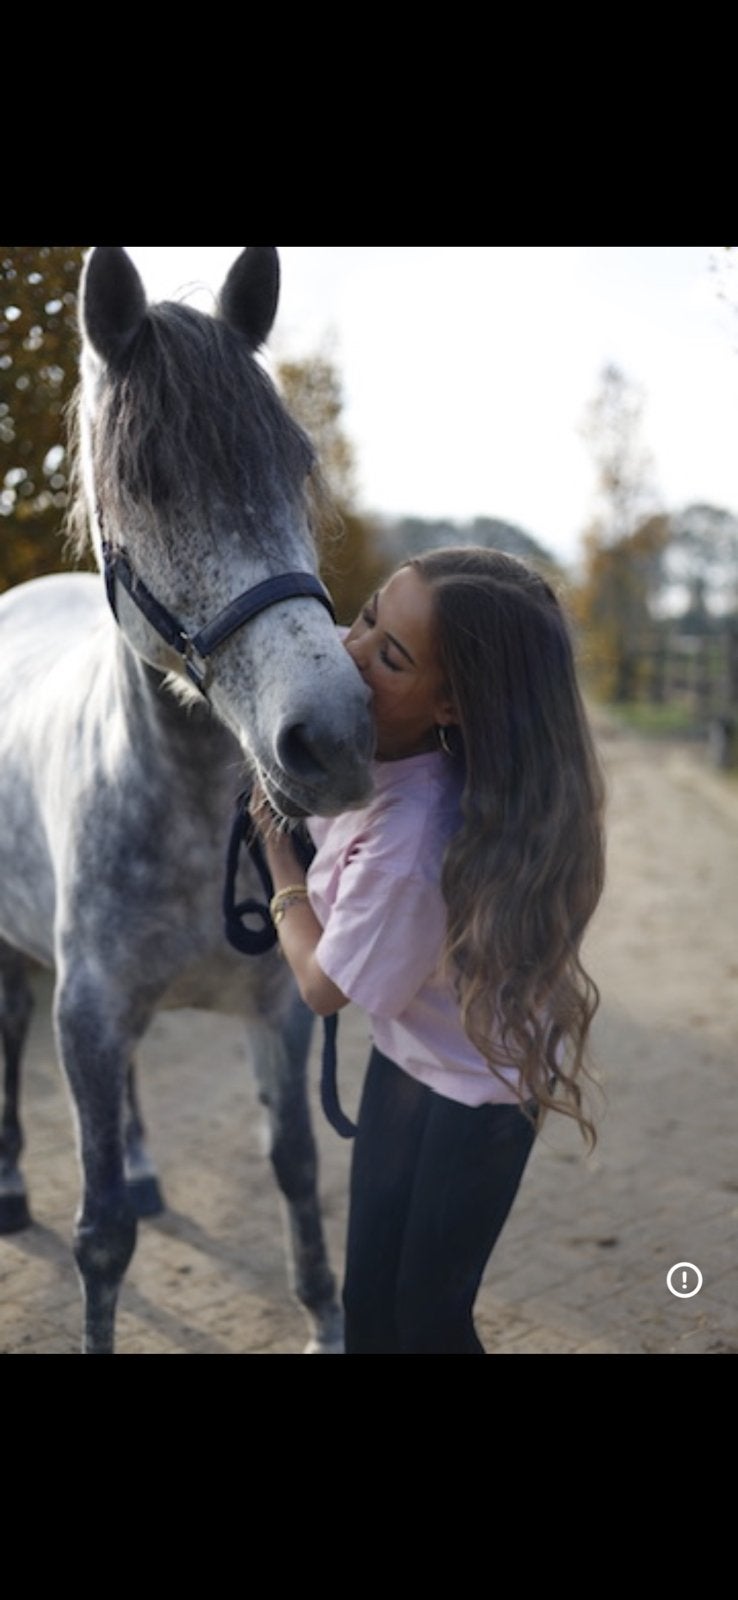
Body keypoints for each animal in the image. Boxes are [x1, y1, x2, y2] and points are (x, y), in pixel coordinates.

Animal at [0, 245, 375, 1354]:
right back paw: (11, 1186)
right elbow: (101, 1238)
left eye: (295, 466)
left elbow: (297, 1175)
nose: (332, 735)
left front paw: (325, 1321)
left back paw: (146, 1167)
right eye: (150, 483)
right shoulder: (83, 1014)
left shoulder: (279, 1014)